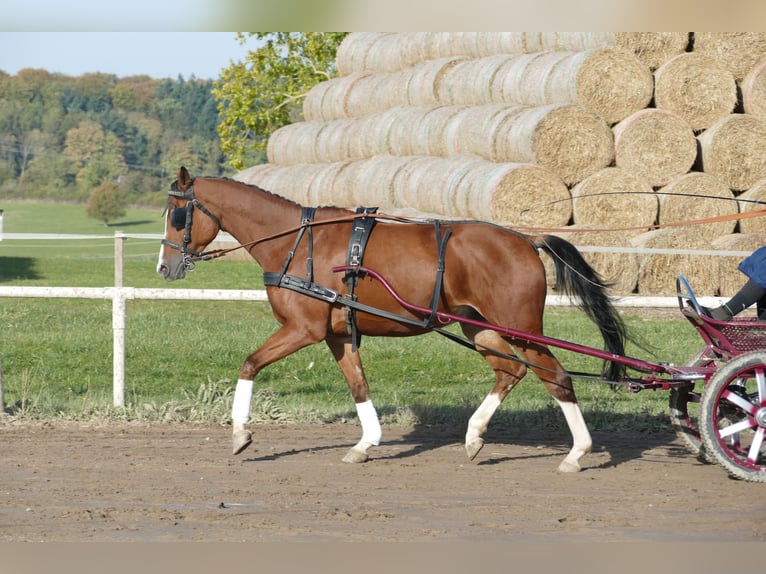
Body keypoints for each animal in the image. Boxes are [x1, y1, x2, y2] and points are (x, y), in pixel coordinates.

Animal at [158, 166, 632, 472]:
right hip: (481, 328)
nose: (166, 267)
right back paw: (474, 435)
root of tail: (525, 240)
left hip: (523, 329)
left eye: (178, 215)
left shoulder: (302, 330)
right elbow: (359, 386)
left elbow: (250, 364)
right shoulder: (337, 335)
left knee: (557, 378)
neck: (297, 243)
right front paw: (366, 443)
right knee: (511, 372)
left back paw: (576, 453)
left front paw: (240, 434)